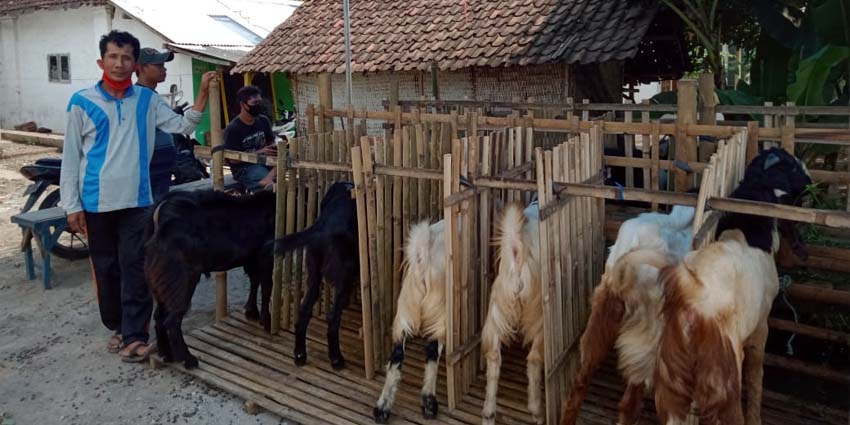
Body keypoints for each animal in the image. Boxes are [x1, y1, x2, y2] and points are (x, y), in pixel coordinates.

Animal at [144, 189, 274, 368]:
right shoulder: (266, 257)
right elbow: (267, 286)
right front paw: (267, 323)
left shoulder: (251, 259)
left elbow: (255, 281)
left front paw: (252, 312)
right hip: (183, 278)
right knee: (172, 320)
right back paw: (188, 359)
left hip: (163, 281)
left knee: (159, 317)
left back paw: (166, 355)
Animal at [274, 181, 358, 370]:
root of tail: (322, 227)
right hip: (344, 276)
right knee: (333, 319)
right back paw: (336, 359)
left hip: (313, 275)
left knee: (304, 311)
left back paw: (299, 354)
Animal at [374, 217, 448, 422]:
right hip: (439, 313)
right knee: (432, 351)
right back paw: (429, 403)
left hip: (406, 308)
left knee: (397, 355)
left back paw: (382, 408)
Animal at [476, 202, 544, 424]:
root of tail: (517, 251)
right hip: (538, 315)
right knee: (534, 359)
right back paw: (536, 409)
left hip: (498, 308)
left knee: (494, 357)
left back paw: (488, 411)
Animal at [652, 147, 812, 424]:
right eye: (791, 165)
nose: (810, 180)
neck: (748, 232)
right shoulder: (760, 326)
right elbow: (756, 374)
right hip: (723, 372)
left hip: (671, 370)